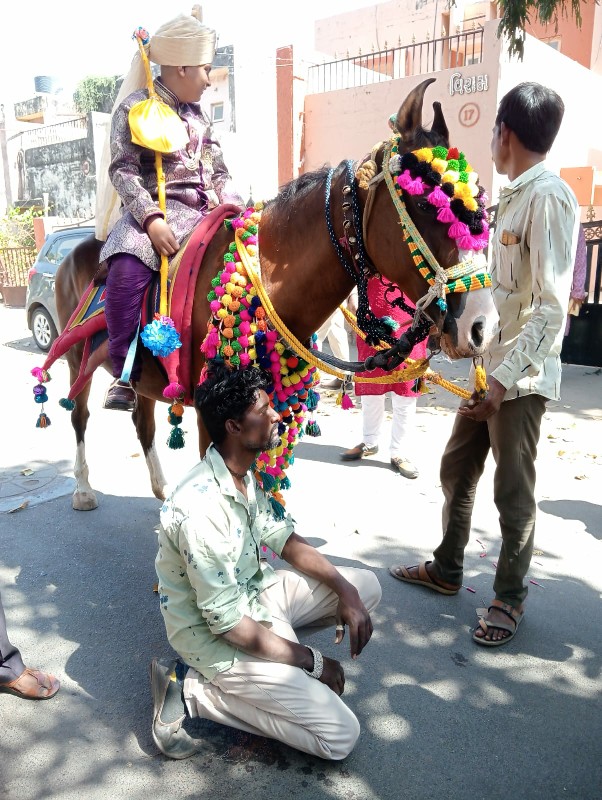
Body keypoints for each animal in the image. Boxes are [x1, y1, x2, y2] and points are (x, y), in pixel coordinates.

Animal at [30, 79, 494, 512]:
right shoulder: (212, 412)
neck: (266, 280)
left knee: (143, 423)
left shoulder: (270, 405)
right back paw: (83, 489)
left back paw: (161, 487)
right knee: (80, 416)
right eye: (426, 203)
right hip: (77, 357)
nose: (482, 326)